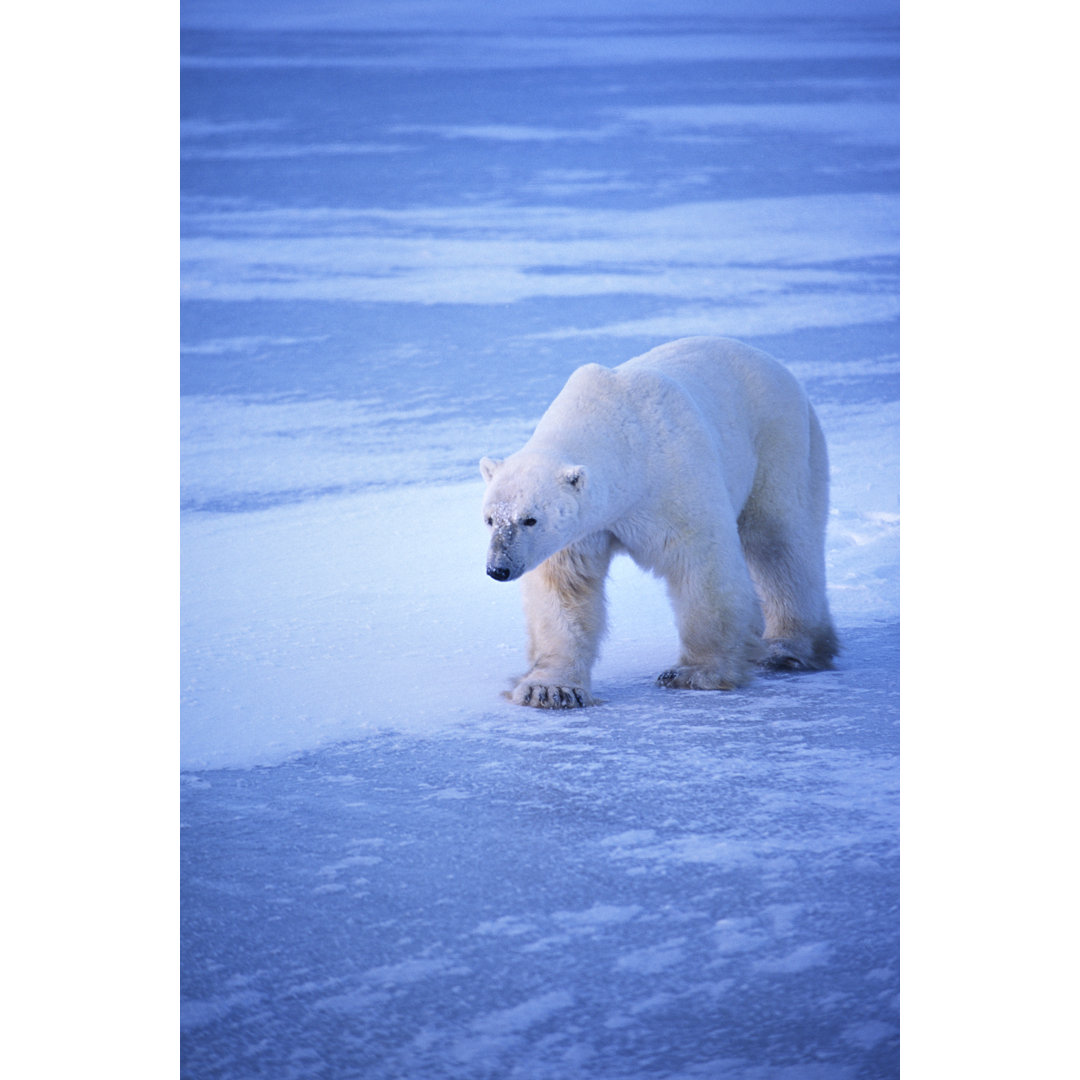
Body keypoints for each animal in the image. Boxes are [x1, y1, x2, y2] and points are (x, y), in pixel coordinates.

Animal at [479, 336, 833, 708]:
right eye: (490, 519)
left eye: (530, 519)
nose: (498, 569)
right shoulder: (585, 529)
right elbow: (566, 588)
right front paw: (550, 689)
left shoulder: (673, 483)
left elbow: (702, 567)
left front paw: (695, 674)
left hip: (779, 443)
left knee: (780, 541)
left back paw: (787, 649)